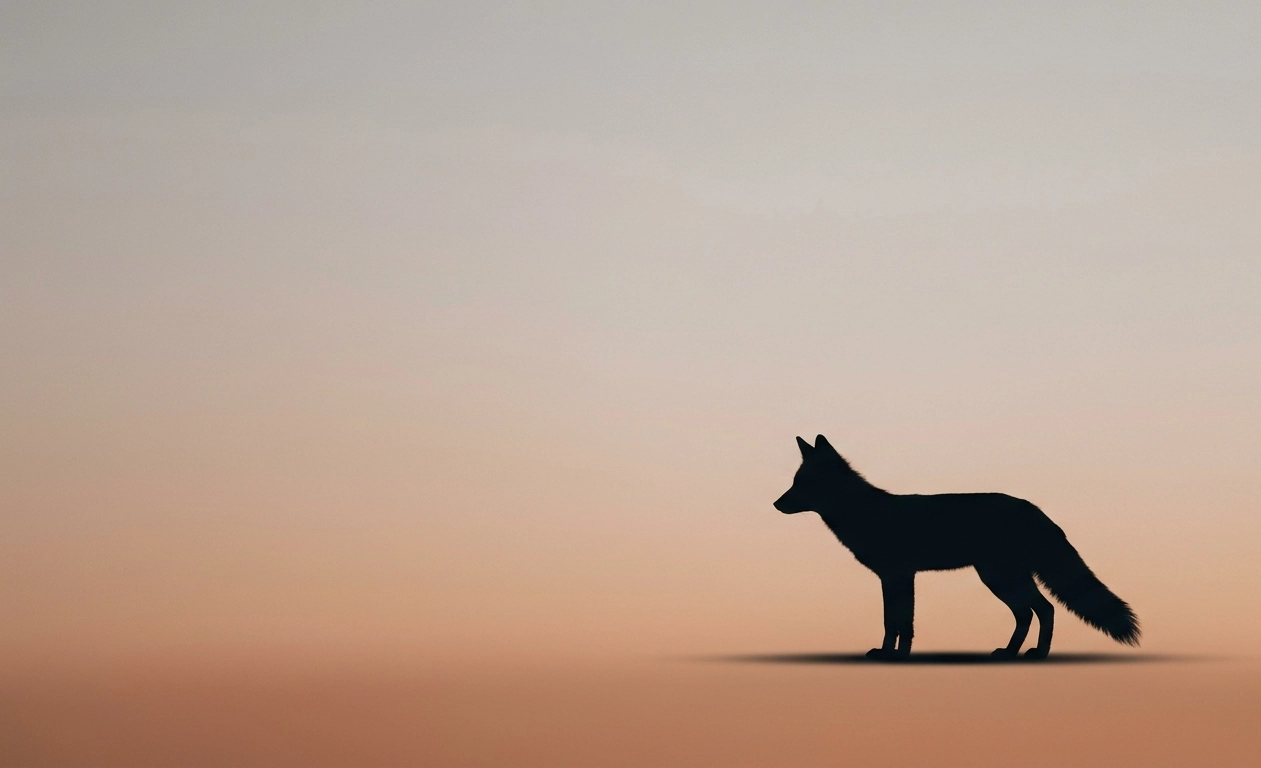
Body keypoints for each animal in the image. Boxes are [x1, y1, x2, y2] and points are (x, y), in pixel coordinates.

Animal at [773, 435, 1139, 660]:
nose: (776, 504)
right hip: (1001, 579)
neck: (864, 513)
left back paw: (1037, 654)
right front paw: (889, 653)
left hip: (1000, 579)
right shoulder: (892, 578)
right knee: (1031, 612)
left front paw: (897, 656)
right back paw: (1011, 653)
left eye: (802, 483)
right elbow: (892, 621)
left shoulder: (899, 576)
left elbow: (900, 623)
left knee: (1044, 609)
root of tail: (1034, 509)